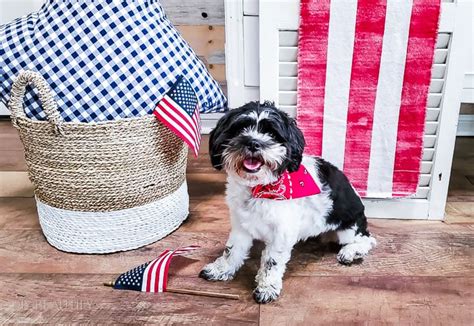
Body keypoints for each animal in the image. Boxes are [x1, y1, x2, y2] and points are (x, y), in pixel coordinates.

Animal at [198, 101, 376, 304]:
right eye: (240, 129)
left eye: (272, 134)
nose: (253, 143)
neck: (259, 189)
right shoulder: (241, 226)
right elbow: (231, 250)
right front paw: (221, 269)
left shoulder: (281, 233)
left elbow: (272, 261)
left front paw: (267, 287)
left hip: (348, 228)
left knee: (368, 239)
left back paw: (351, 252)